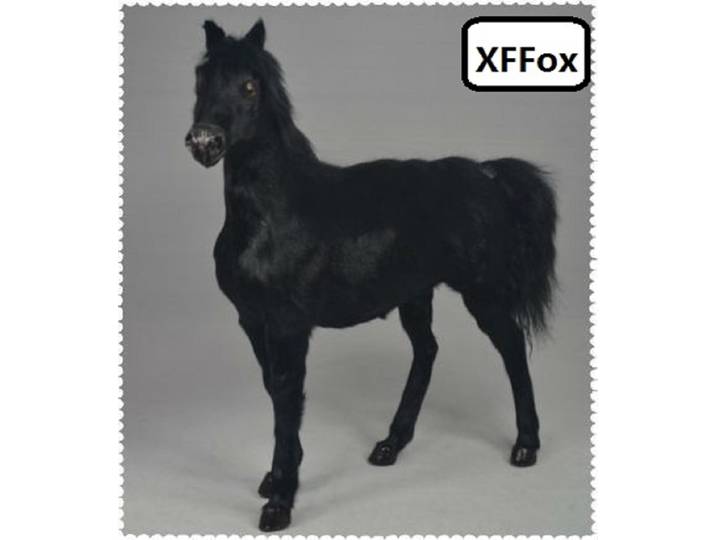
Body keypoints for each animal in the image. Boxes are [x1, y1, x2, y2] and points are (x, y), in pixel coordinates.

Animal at [185, 19, 557, 532]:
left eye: (249, 85)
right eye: (201, 79)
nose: (205, 142)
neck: (276, 214)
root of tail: (486, 174)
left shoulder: (287, 325)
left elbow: (287, 398)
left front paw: (280, 499)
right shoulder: (252, 320)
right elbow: (275, 389)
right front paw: (278, 477)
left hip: (482, 292)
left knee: (512, 347)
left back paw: (525, 446)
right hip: (416, 294)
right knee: (427, 351)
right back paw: (390, 445)